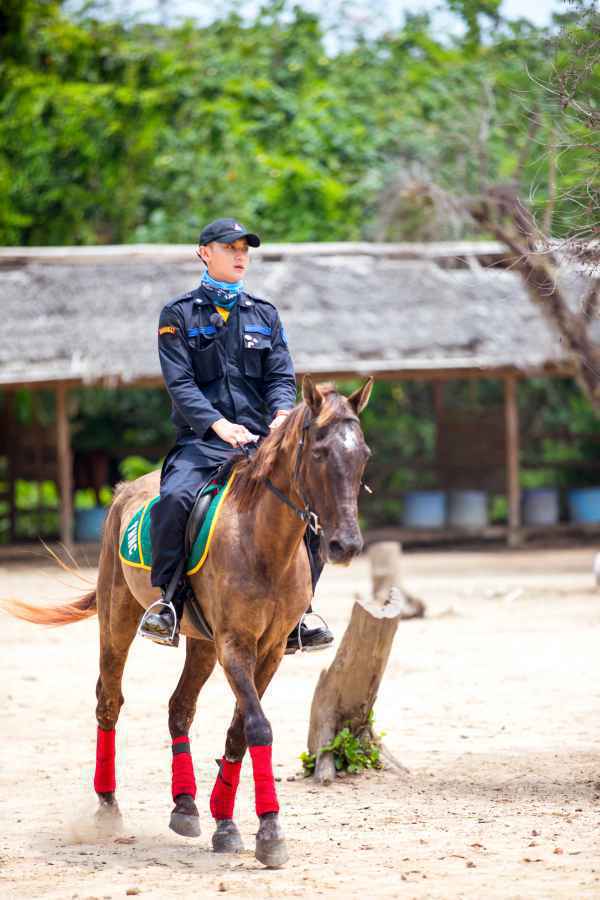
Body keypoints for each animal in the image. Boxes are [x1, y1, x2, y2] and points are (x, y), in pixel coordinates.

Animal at [3, 376, 370, 868]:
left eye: (363, 454)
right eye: (319, 454)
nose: (345, 545)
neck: (262, 541)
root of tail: (124, 490)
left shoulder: (271, 650)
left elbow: (238, 730)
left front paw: (226, 823)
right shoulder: (235, 645)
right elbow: (257, 726)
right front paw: (270, 832)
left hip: (201, 644)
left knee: (179, 708)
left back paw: (186, 806)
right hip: (119, 622)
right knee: (109, 702)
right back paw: (108, 807)